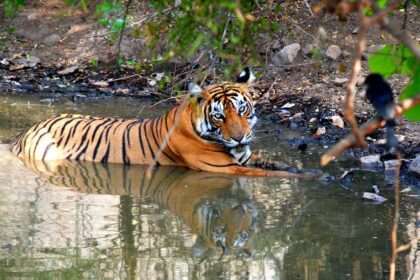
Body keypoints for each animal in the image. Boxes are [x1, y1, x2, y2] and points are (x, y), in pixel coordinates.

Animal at [8, 68, 318, 177]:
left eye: (242, 110)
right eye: (219, 116)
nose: (240, 137)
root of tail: (24, 133)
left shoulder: (245, 158)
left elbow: (278, 165)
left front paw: (308, 171)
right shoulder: (227, 169)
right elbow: (272, 175)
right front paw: (314, 178)